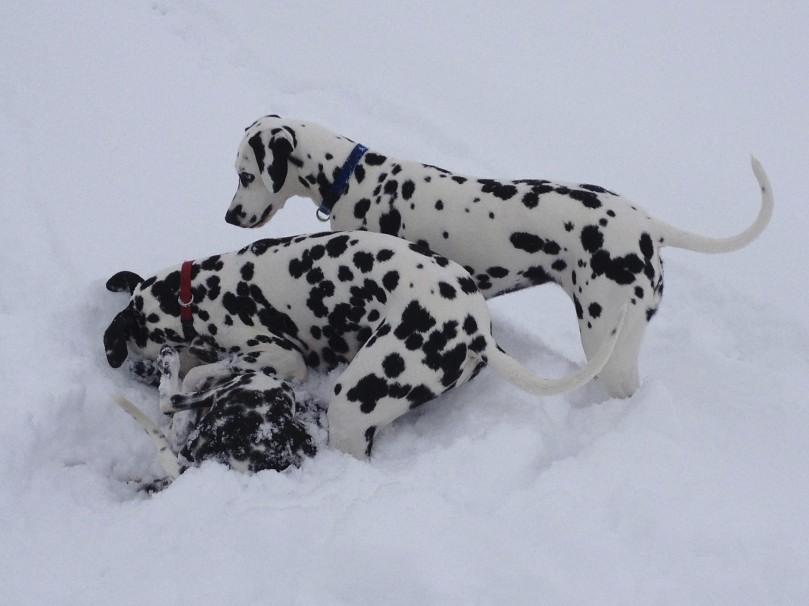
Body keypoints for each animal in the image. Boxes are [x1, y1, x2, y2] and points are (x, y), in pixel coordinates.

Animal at [105, 230, 624, 458]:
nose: (135, 371)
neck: (197, 290)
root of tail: (474, 327)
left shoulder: (280, 357)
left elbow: (198, 371)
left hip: (353, 404)